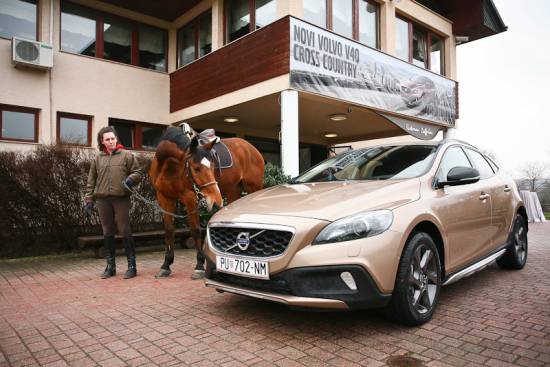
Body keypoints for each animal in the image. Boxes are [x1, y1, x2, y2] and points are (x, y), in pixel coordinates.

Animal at [149, 129, 266, 278]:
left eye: (212, 166)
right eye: (196, 168)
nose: (216, 201)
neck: (169, 168)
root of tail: (251, 148)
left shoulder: (190, 197)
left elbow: (195, 230)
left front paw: (199, 266)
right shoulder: (164, 198)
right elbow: (169, 230)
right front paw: (166, 265)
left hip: (253, 188)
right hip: (233, 191)